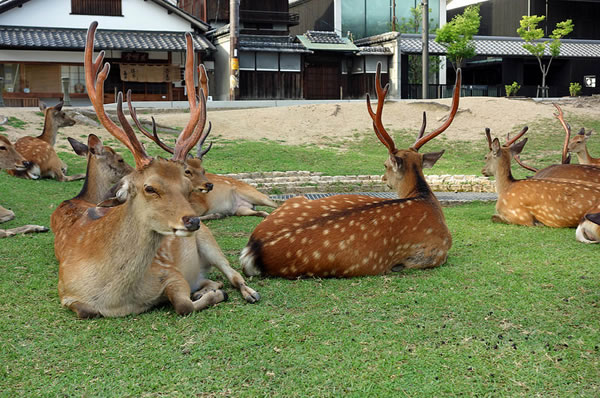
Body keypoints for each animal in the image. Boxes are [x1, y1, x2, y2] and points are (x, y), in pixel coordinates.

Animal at [51, 23, 234, 318]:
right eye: (150, 187)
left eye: (186, 187)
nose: (192, 220)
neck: (115, 300)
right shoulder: (65, 291)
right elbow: (86, 310)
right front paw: (208, 292)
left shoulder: (170, 273)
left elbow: (182, 304)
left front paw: (213, 295)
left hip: (209, 241)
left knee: (232, 274)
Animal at [237, 63, 462, 278]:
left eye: (385, 165)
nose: (383, 178)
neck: (424, 197)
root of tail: (253, 250)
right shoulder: (436, 252)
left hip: (295, 201)